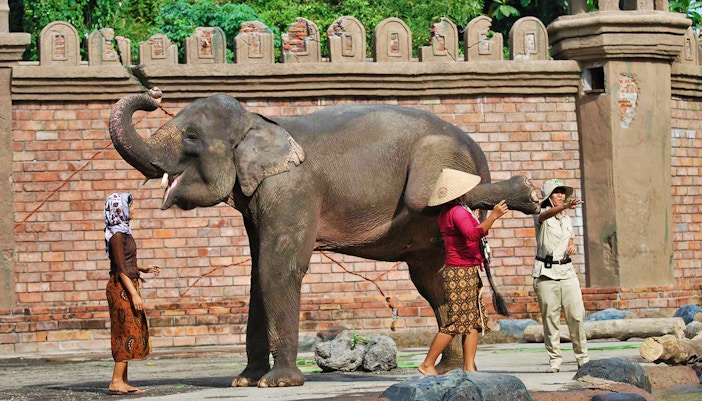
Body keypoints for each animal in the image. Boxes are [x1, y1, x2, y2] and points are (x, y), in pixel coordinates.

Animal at [109, 88, 541, 387]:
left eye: (192, 137)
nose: (155, 95)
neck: (259, 121)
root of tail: (476, 147)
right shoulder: (258, 199)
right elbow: (258, 274)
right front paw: (245, 381)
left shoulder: (293, 188)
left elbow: (279, 269)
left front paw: (278, 383)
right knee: (432, 280)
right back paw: (446, 372)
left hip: (441, 158)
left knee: (426, 202)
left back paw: (527, 190)